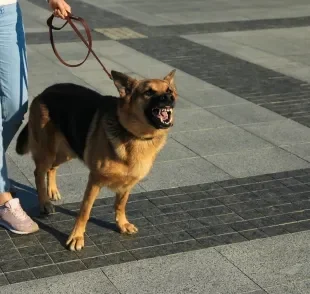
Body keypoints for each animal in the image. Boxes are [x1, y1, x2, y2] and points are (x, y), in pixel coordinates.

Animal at [15, 69, 177, 250]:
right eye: (149, 92)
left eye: (169, 90)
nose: (169, 98)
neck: (134, 135)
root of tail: (45, 92)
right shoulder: (95, 180)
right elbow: (85, 211)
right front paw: (77, 236)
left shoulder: (128, 184)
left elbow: (120, 205)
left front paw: (122, 224)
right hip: (48, 152)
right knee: (38, 172)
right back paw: (44, 202)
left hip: (68, 151)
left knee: (52, 168)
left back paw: (52, 191)